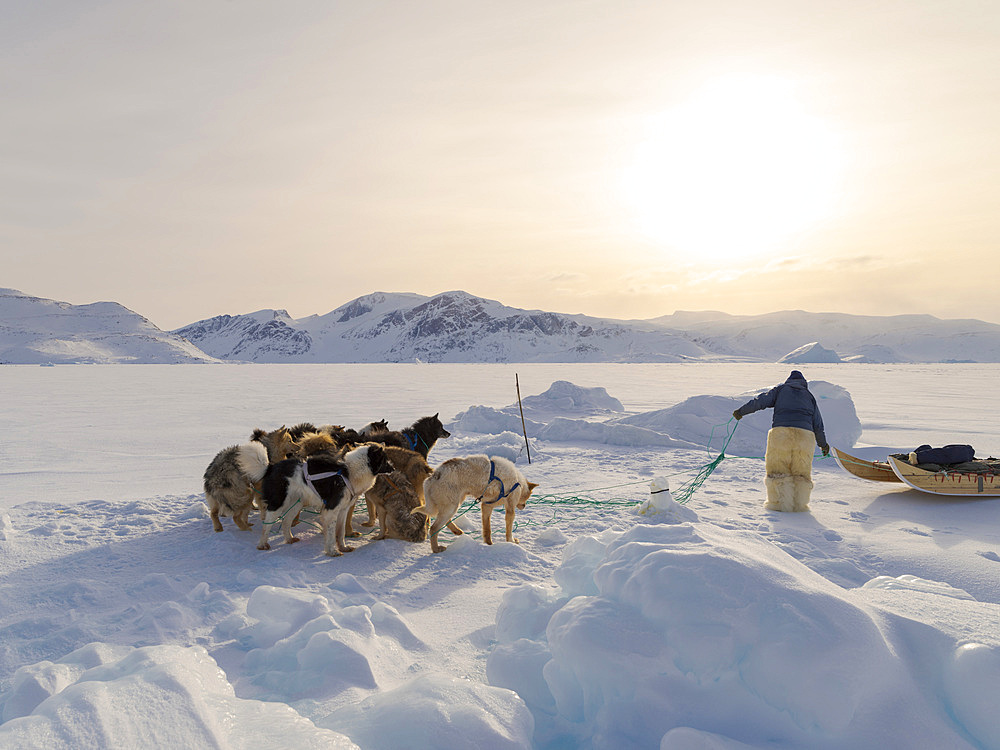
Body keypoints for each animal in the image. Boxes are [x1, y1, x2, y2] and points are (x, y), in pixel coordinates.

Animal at [236, 440, 392, 560]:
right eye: (385, 460)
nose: (393, 467)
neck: (349, 472)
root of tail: (271, 467)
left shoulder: (343, 510)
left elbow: (341, 532)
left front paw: (343, 547)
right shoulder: (331, 510)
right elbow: (331, 534)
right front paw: (332, 551)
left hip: (296, 504)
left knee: (286, 521)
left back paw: (289, 539)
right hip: (278, 503)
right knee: (266, 525)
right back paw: (262, 544)